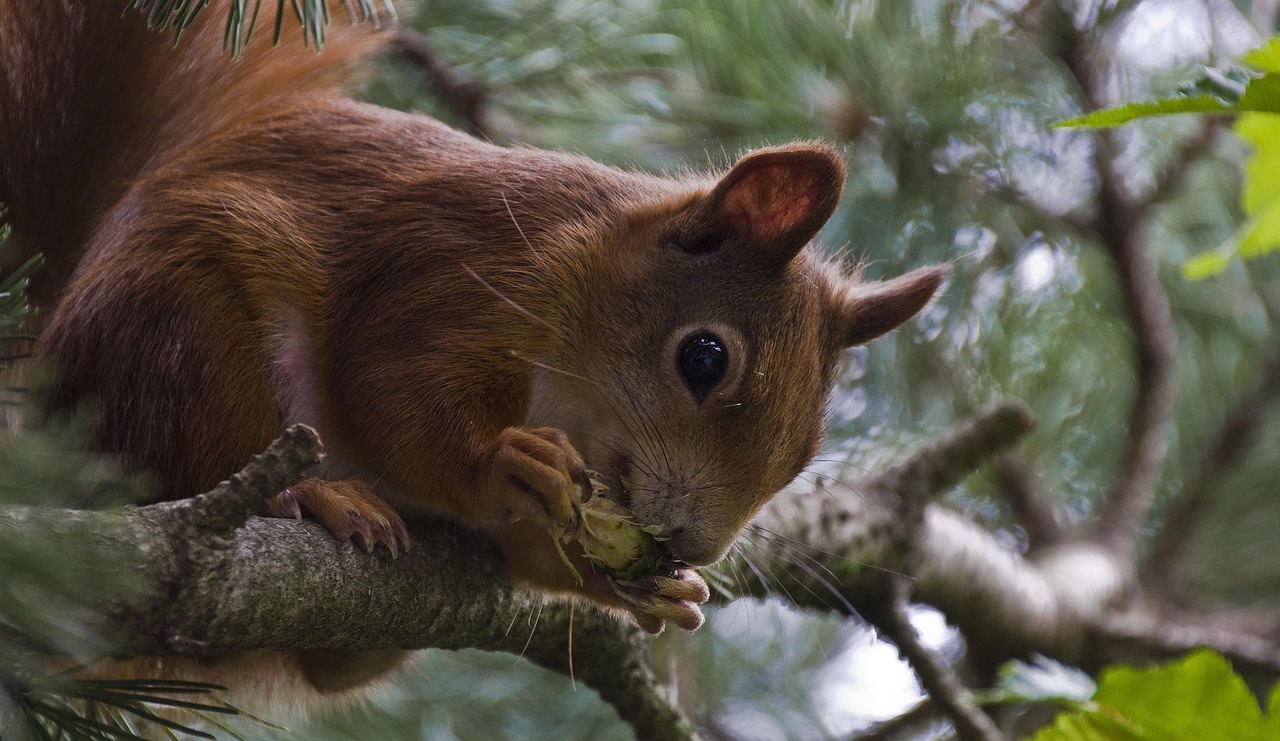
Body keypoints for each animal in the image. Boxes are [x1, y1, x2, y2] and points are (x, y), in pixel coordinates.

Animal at [0, 1, 942, 701]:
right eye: (703, 358)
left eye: (809, 451)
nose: (690, 545)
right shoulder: (453, 271)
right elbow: (389, 390)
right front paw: (508, 463)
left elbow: (522, 554)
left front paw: (643, 585)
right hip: (189, 331)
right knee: (181, 463)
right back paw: (315, 497)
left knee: (329, 667)